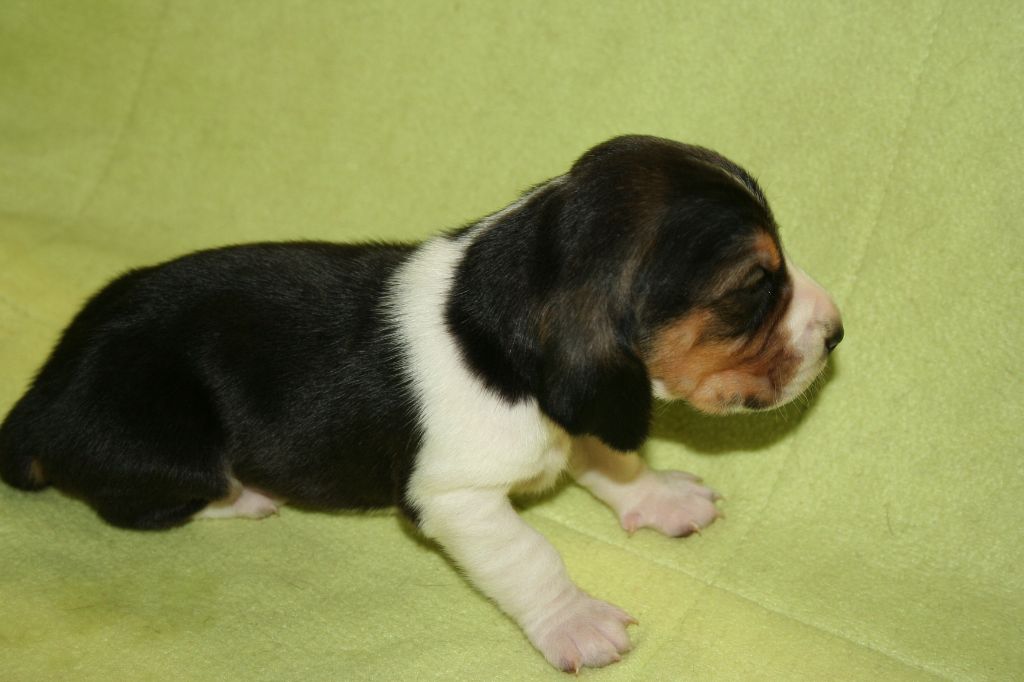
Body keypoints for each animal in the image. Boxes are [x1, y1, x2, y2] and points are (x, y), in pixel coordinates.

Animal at [0, 135, 842, 671]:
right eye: (754, 287)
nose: (838, 331)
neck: (497, 332)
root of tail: (39, 396)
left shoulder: (587, 413)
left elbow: (612, 454)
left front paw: (661, 497)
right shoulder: (456, 497)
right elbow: (531, 555)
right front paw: (576, 622)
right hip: (172, 451)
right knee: (141, 504)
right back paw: (245, 496)